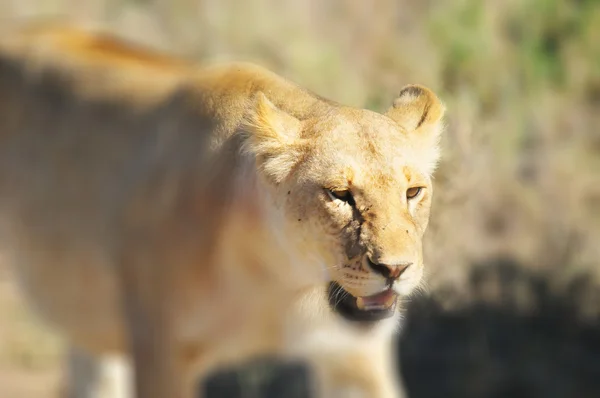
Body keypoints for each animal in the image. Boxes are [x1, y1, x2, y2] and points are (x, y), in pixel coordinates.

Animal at [0, 21, 446, 398]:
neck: (282, 280)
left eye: (412, 192)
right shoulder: (162, 353)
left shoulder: (352, 356)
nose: (395, 270)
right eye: (340, 195)